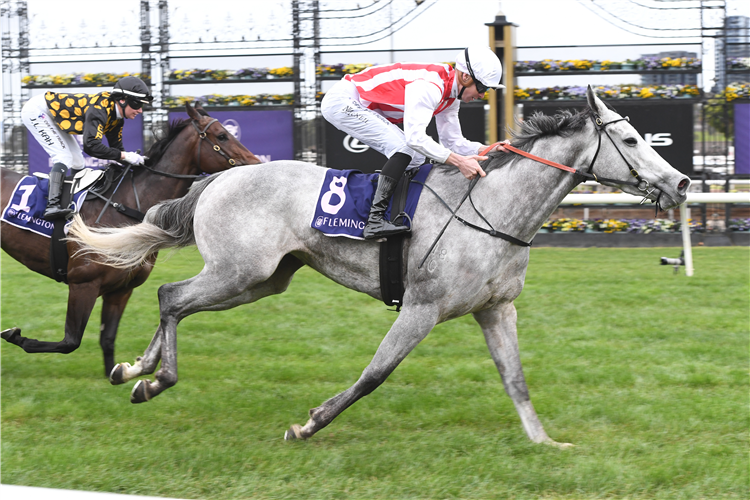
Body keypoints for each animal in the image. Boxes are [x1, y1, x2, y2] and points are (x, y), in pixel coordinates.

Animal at [0, 100, 262, 376]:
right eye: (222, 136)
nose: (256, 164)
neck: (123, 205)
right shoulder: (83, 283)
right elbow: (70, 341)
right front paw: (15, 335)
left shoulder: (122, 289)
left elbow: (107, 338)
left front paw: (116, 376)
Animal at [67, 88, 692, 448]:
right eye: (631, 138)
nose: (683, 183)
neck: (492, 210)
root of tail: (219, 177)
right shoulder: (422, 306)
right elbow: (375, 374)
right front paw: (309, 424)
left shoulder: (496, 309)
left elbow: (515, 378)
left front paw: (545, 444)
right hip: (238, 272)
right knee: (171, 296)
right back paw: (155, 380)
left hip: (261, 280)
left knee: (174, 300)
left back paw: (134, 370)